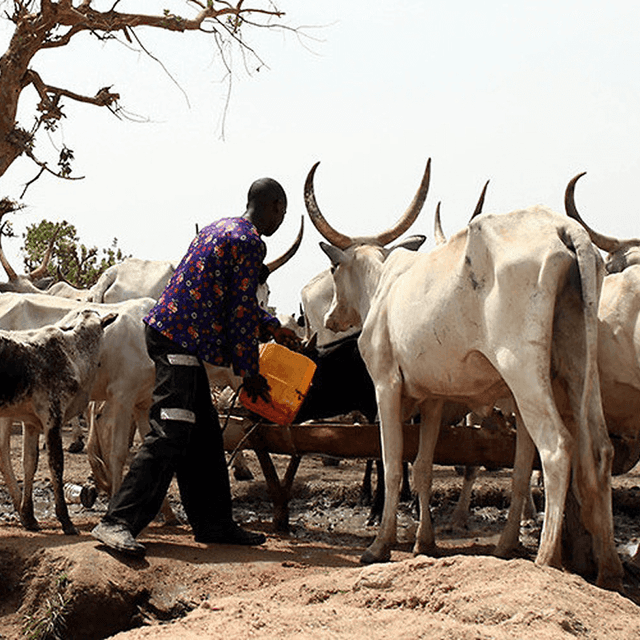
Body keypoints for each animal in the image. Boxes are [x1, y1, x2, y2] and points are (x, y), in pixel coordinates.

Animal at [0, 308, 116, 534]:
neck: (73, 353)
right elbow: (56, 465)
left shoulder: (31, 423)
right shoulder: (53, 418)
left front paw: (29, 517)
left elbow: (30, 463)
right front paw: (66, 520)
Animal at [304, 158, 623, 590]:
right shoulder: (435, 398)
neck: (385, 286)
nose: (332, 317)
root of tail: (564, 228)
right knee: (599, 450)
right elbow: (423, 467)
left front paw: (379, 545)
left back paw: (545, 559)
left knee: (557, 447)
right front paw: (424, 542)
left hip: (522, 371)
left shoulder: (386, 386)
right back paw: (608, 569)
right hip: (577, 369)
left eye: (333, 268)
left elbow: (392, 463)